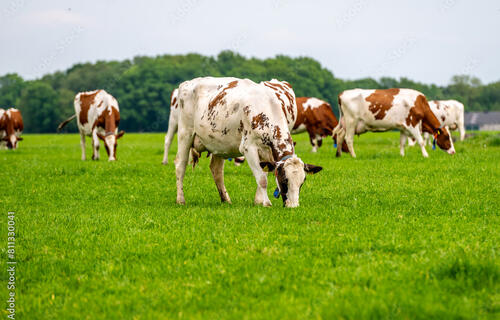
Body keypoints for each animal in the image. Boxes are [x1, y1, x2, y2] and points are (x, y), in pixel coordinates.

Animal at [176, 77, 322, 208]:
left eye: (302, 182)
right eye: (284, 179)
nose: (293, 206)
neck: (266, 107)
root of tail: (189, 82)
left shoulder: (267, 153)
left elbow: (264, 173)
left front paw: (258, 201)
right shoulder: (248, 148)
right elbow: (262, 179)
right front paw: (266, 203)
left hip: (218, 143)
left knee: (216, 169)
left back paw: (225, 199)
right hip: (185, 133)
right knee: (180, 166)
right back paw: (180, 200)